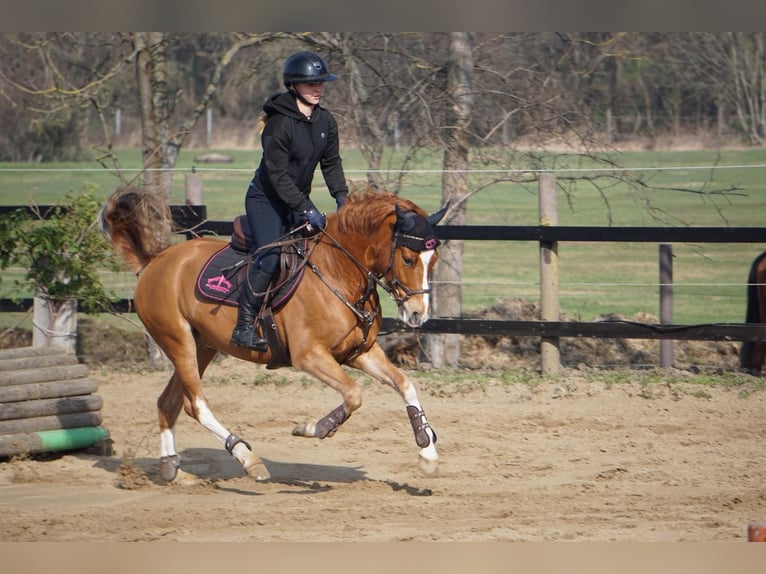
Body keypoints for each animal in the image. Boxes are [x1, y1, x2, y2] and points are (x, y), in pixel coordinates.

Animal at [100, 188, 450, 482]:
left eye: (433, 260)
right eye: (408, 259)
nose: (418, 314)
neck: (339, 270)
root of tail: (155, 261)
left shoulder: (359, 353)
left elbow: (405, 385)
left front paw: (428, 452)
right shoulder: (310, 356)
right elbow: (353, 394)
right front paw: (314, 428)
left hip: (202, 346)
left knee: (170, 402)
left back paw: (171, 468)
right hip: (179, 341)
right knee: (196, 404)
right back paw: (247, 458)